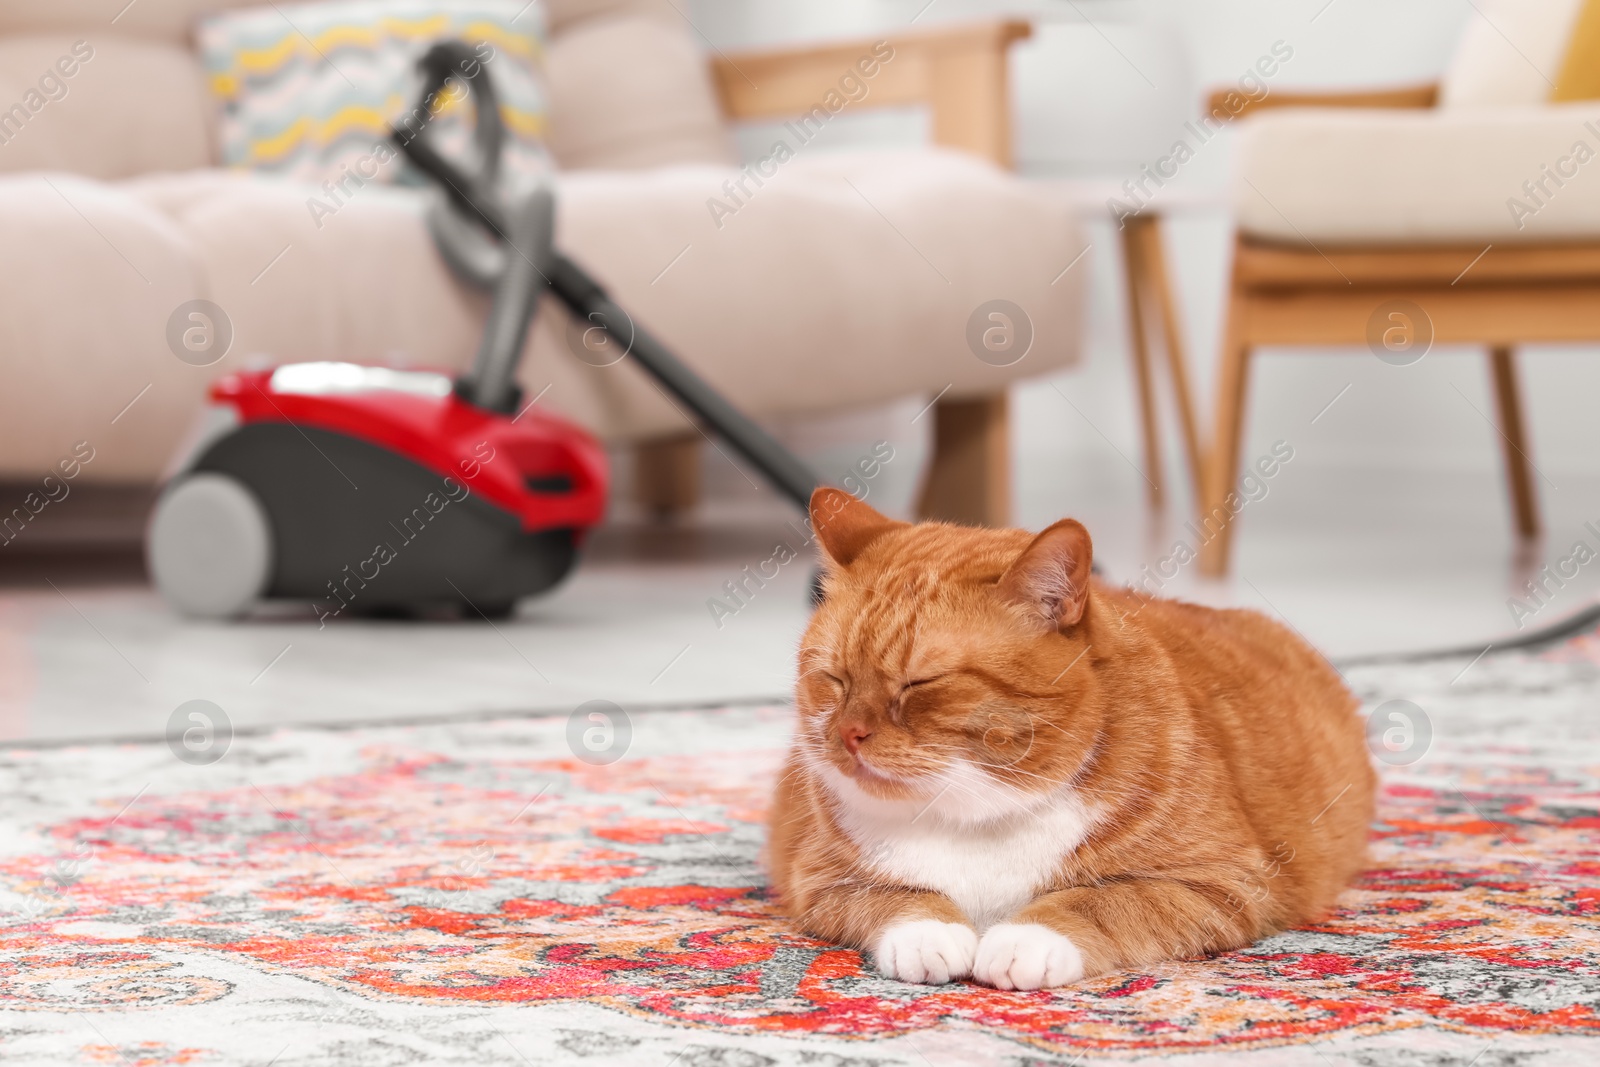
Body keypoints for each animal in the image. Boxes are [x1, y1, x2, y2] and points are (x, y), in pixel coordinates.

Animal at [764, 492, 1376, 991]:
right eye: (835, 678)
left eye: (921, 684)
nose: (847, 734)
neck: (974, 810)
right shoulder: (816, 877)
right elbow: (893, 897)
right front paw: (929, 933)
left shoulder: (1221, 880)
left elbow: (1107, 900)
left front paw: (1026, 940)